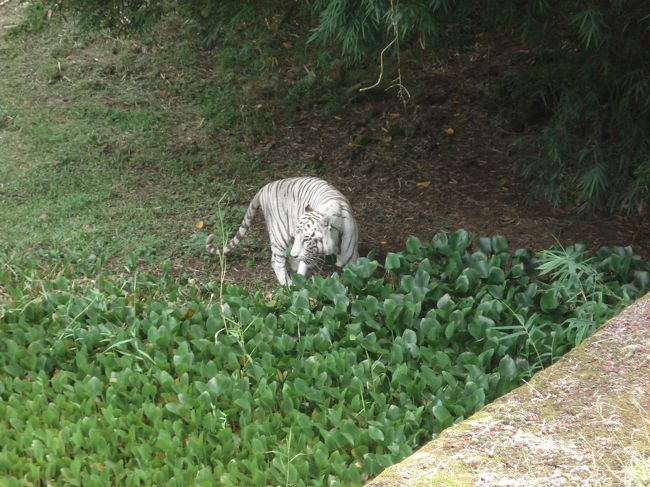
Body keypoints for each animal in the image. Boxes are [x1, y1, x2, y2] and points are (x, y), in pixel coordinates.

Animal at [206, 177, 360, 286]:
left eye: (306, 238)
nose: (295, 255)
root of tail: (266, 186)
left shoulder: (351, 262)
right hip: (279, 234)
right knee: (276, 261)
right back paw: (288, 285)